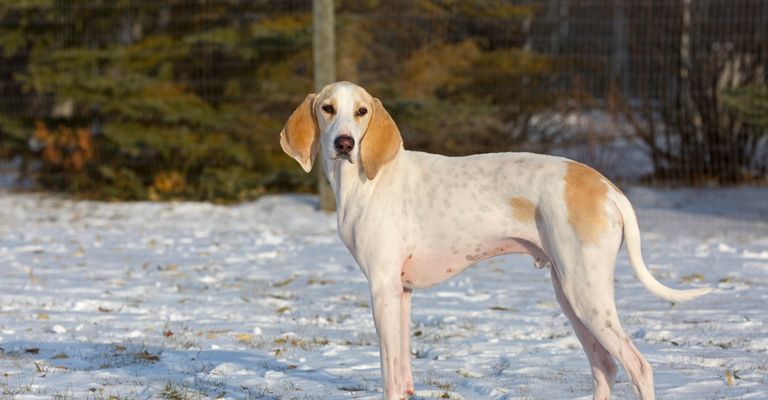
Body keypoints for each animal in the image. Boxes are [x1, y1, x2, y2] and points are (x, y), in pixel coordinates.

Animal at [280, 82, 712, 400]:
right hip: (570, 294)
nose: (345, 144)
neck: (369, 180)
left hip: (586, 294)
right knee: (605, 367)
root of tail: (605, 185)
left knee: (637, 366)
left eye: (361, 112)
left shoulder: (382, 289)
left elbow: (389, 374)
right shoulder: (401, 293)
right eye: (328, 109)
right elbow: (402, 374)